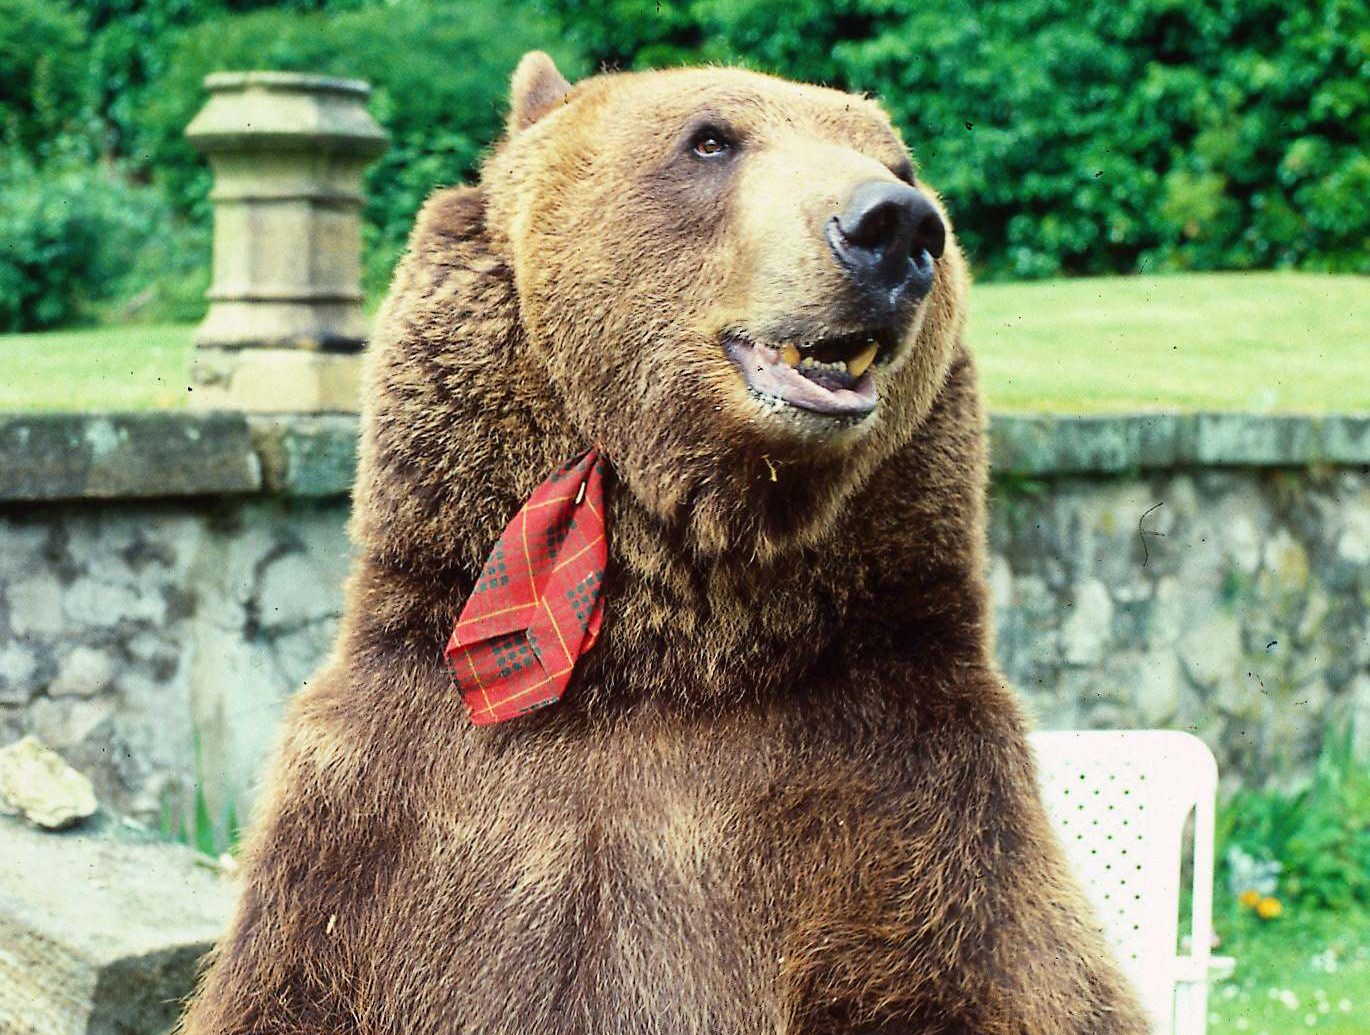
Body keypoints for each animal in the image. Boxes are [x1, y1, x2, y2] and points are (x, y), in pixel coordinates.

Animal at [179, 53, 1151, 1035]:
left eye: (901, 162)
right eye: (710, 138)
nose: (896, 225)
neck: (664, 658)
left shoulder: (916, 812)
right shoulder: (379, 818)